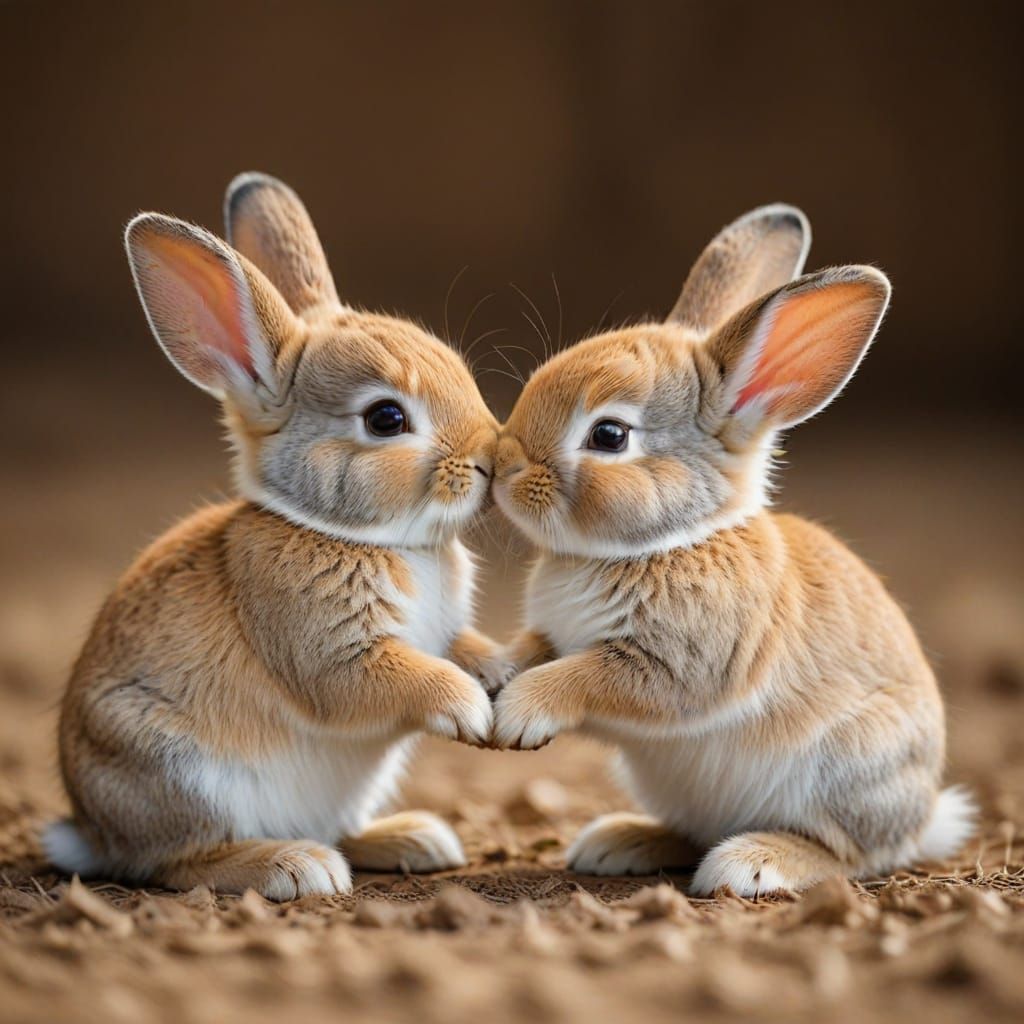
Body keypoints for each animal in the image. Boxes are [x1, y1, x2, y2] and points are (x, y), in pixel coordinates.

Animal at [44, 172, 510, 900]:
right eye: (385, 418)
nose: (490, 460)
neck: (366, 536)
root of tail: (93, 832)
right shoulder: (335, 650)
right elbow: (395, 677)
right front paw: (466, 708)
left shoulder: (439, 632)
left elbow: (461, 646)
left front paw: (501, 671)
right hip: (183, 772)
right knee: (178, 862)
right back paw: (294, 865)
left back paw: (412, 840)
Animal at [490, 205, 976, 897]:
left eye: (609, 435)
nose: (503, 466)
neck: (666, 540)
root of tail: (922, 819)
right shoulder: (557, 635)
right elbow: (535, 650)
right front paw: (496, 673)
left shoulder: (676, 663)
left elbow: (586, 677)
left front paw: (519, 712)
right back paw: (620, 842)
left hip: (844, 769)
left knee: (846, 854)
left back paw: (754, 863)